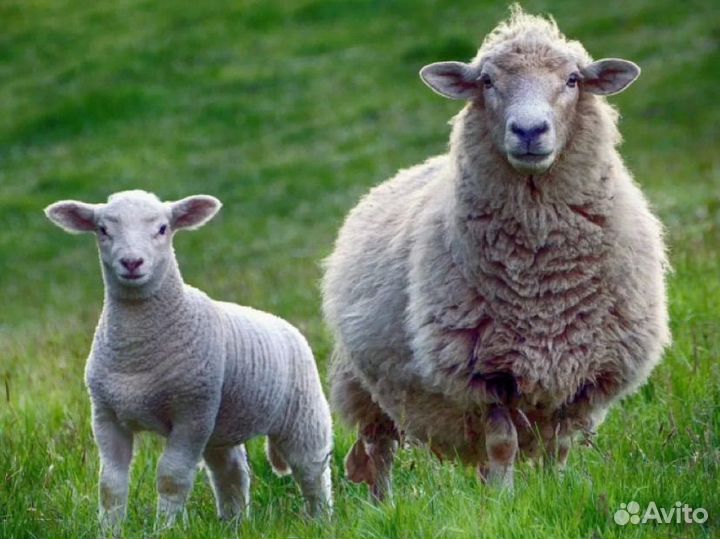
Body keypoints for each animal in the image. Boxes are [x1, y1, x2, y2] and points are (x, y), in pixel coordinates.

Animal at [44, 190, 333, 534]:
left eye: (162, 229)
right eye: (103, 230)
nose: (132, 262)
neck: (136, 353)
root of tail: (285, 325)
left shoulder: (191, 413)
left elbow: (172, 478)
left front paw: (164, 530)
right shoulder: (106, 415)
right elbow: (110, 484)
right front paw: (109, 531)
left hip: (302, 413)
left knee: (312, 468)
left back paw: (321, 520)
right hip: (221, 425)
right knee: (231, 473)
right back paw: (234, 524)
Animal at [322, 6, 669, 500]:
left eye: (573, 80)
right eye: (487, 81)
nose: (528, 130)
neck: (543, 279)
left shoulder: (582, 372)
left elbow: (559, 446)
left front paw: (553, 491)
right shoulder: (484, 374)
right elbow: (503, 444)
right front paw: (504, 502)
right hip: (363, 386)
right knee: (379, 449)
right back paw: (383, 505)